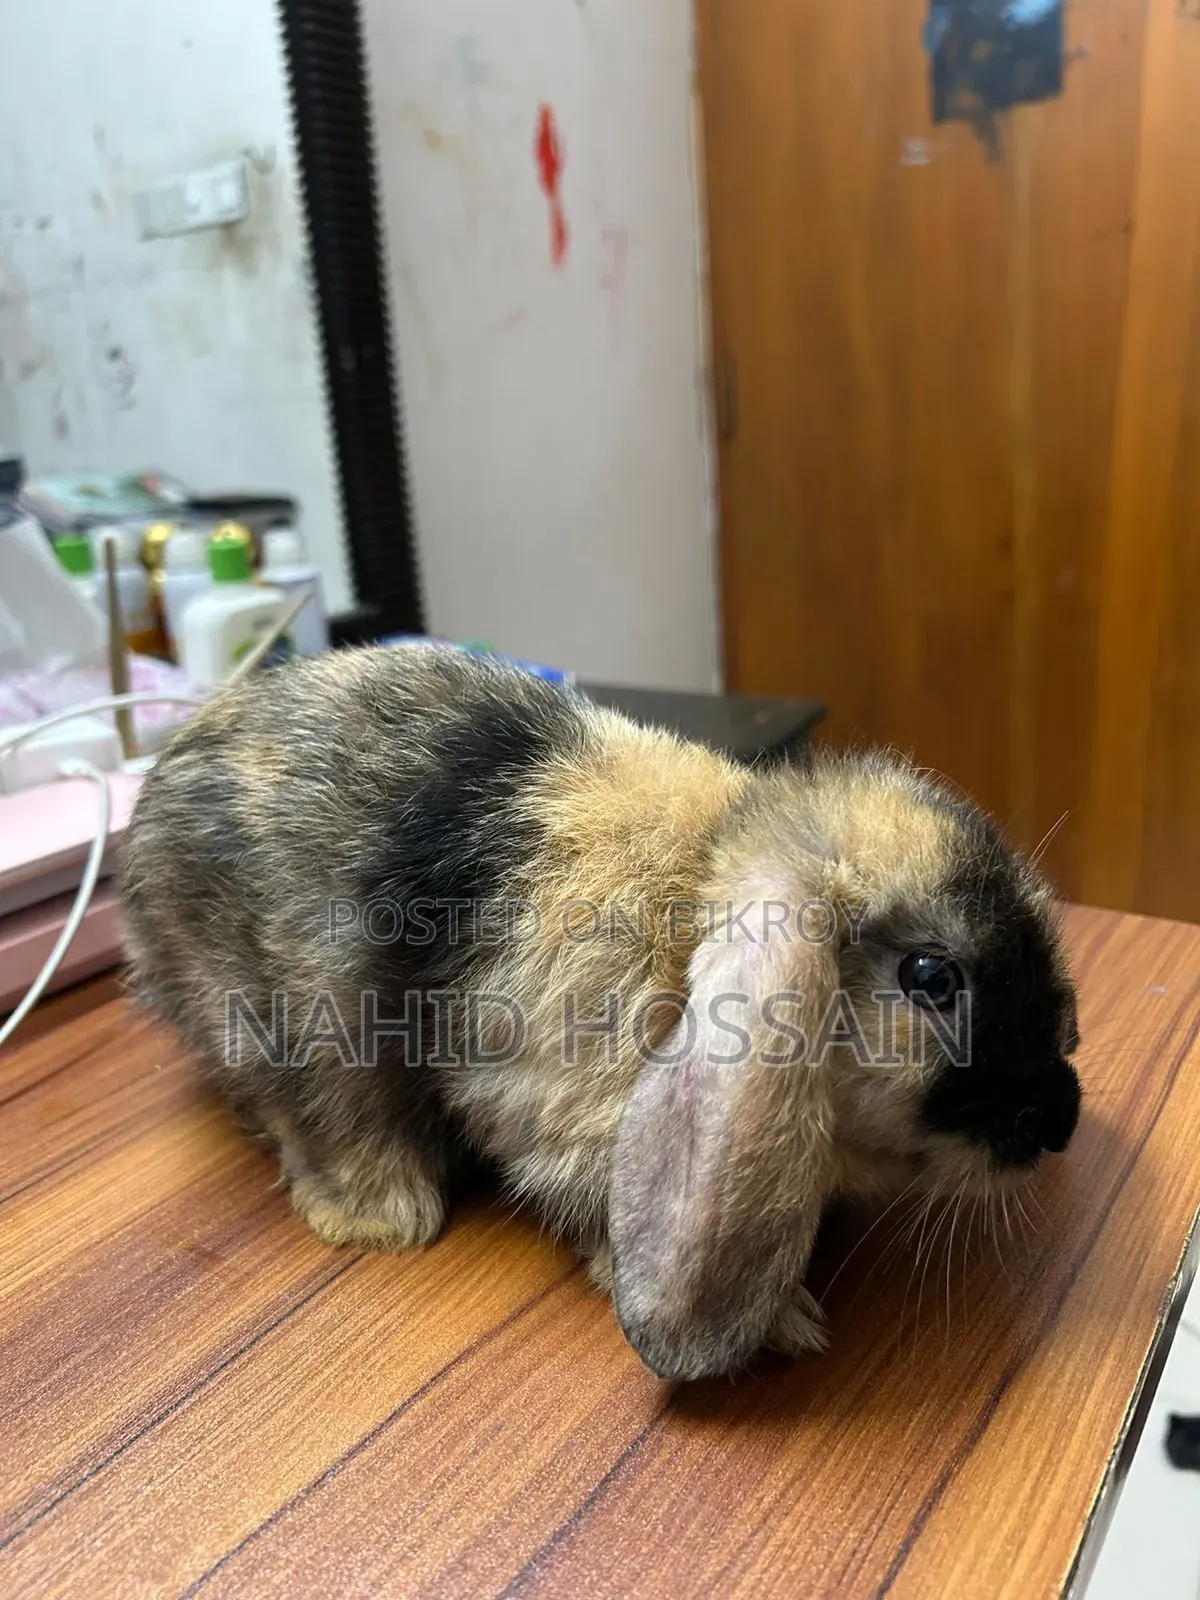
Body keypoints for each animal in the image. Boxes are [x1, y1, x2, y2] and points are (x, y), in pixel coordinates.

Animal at [120, 644, 1081, 1381]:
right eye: (931, 975)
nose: (1061, 1119)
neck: (692, 906)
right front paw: (786, 1324)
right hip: (295, 1026)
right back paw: (382, 1217)